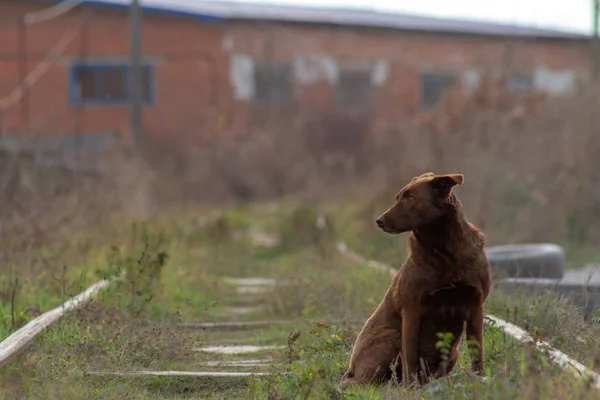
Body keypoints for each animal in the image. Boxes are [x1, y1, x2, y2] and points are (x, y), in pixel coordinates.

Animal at [340, 173, 490, 390]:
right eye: (398, 197)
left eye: (410, 198)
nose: (379, 220)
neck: (445, 254)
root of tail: (351, 367)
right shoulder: (412, 309)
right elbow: (410, 356)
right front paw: (409, 388)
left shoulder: (476, 305)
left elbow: (477, 352)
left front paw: (481, 381)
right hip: (390, 337)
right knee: (359, 381)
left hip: (452, 353)